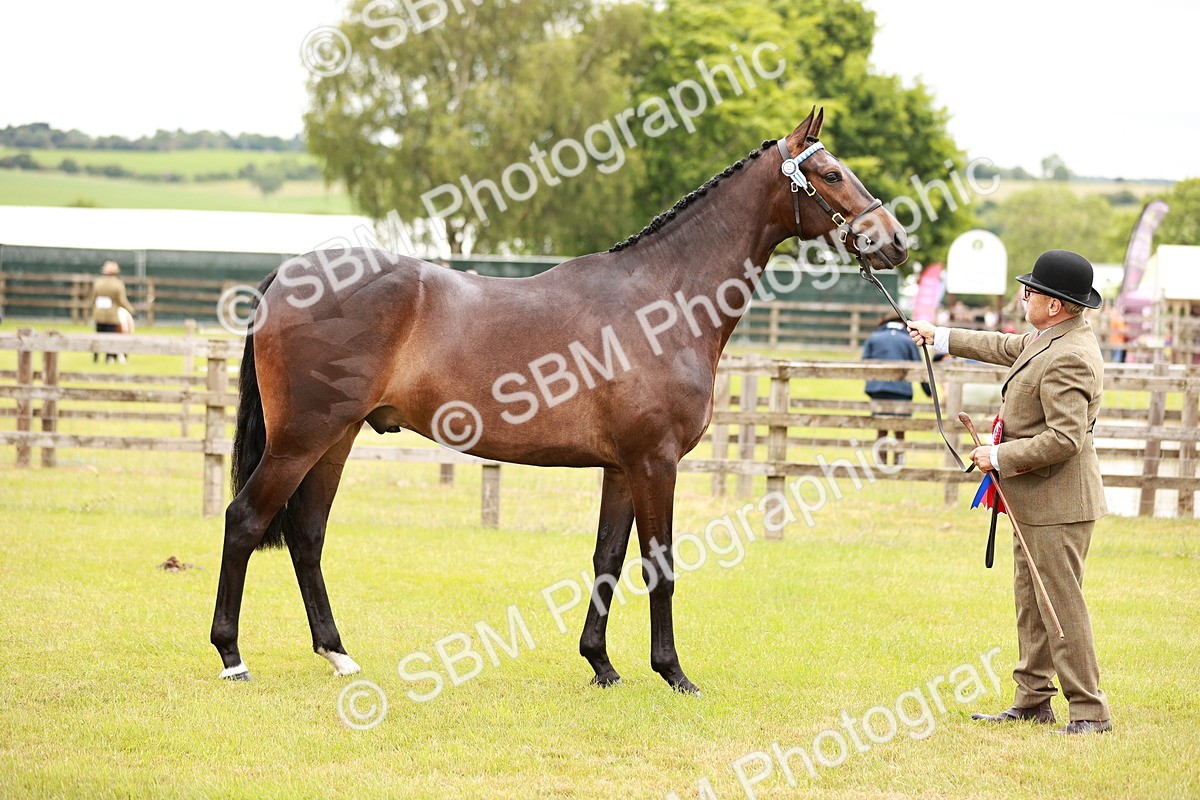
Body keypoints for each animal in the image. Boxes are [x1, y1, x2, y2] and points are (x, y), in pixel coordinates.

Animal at [211, 108, 908, 693]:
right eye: (830, 173)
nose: (896, 238)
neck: (663, 299)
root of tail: (289, 275)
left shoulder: (623, 468)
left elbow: (607, 560)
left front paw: (601, 665)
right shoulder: (655, 463)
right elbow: (659, 565)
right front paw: (673, 673)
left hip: (337, 439)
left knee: (307, 535)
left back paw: (338, 654)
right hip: (300, 440)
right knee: (245, 520)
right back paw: (232, 657)